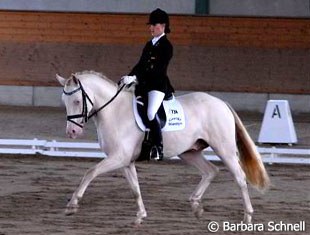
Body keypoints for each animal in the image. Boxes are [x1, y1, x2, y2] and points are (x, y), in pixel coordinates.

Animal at [55, 70, 268, 225]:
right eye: (64, 102)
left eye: (77, 101)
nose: (71, 132)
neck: (114, 112)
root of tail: (221, 103)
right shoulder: (125, 161)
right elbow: (135, 188)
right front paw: (141, 215)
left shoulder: (118, 157)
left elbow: (90, 172)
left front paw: (72, 205)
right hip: (189, 152)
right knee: (211, 171)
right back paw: (196, 205)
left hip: (224, 149)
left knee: (239, 177)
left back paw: (247, 215)